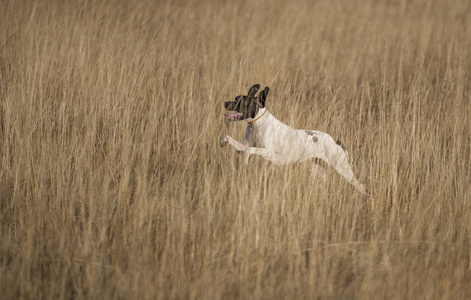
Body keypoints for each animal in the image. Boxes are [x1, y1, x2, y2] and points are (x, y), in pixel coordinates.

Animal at [221, 83, 368, 196]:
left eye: (241, 101)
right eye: (236, 98)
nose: (225, 102)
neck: (257, 123)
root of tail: (335, 141)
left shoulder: (270, 153)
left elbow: (250, 150)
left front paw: (245, 160)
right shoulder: (242, 146)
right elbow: (230, 139)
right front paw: (223, 141)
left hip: (343, 169)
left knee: (361, 186)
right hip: (318, 174)